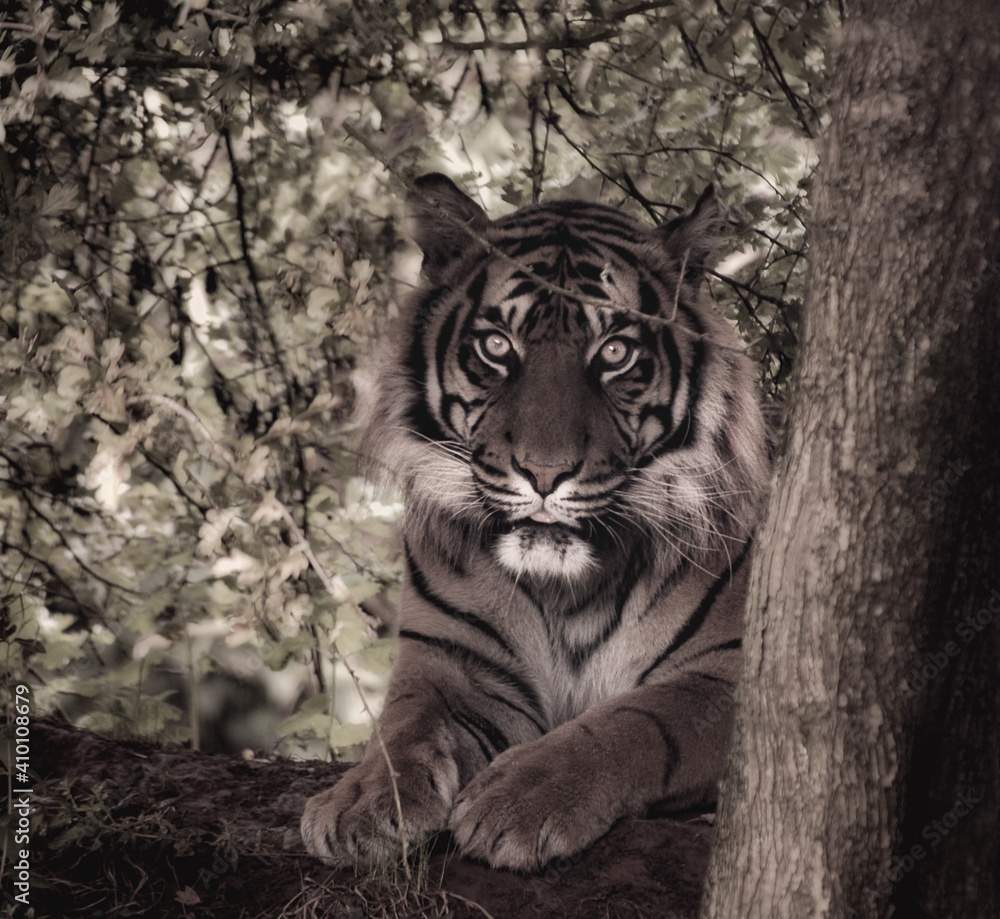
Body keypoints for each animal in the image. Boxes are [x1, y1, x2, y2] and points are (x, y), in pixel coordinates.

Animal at [301, 173, 773, 873]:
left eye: (615, 351)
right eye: (497, 346)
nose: (545, 473)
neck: (567, 588)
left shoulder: (730, 673)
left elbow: (637, 722)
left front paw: (521, 799)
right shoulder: (449, 658)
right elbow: (405, 724)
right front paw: (357, 804)